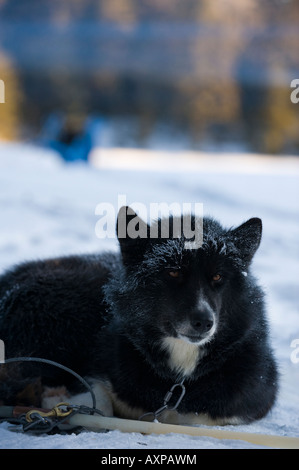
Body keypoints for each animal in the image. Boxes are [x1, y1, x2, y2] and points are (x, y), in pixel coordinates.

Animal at [0, 208, 278, 426]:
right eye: (173, 272)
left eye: (218, 277)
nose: (204, 322)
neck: (178, 382)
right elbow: (99, 404)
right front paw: (60, 403)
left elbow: (201, 418)